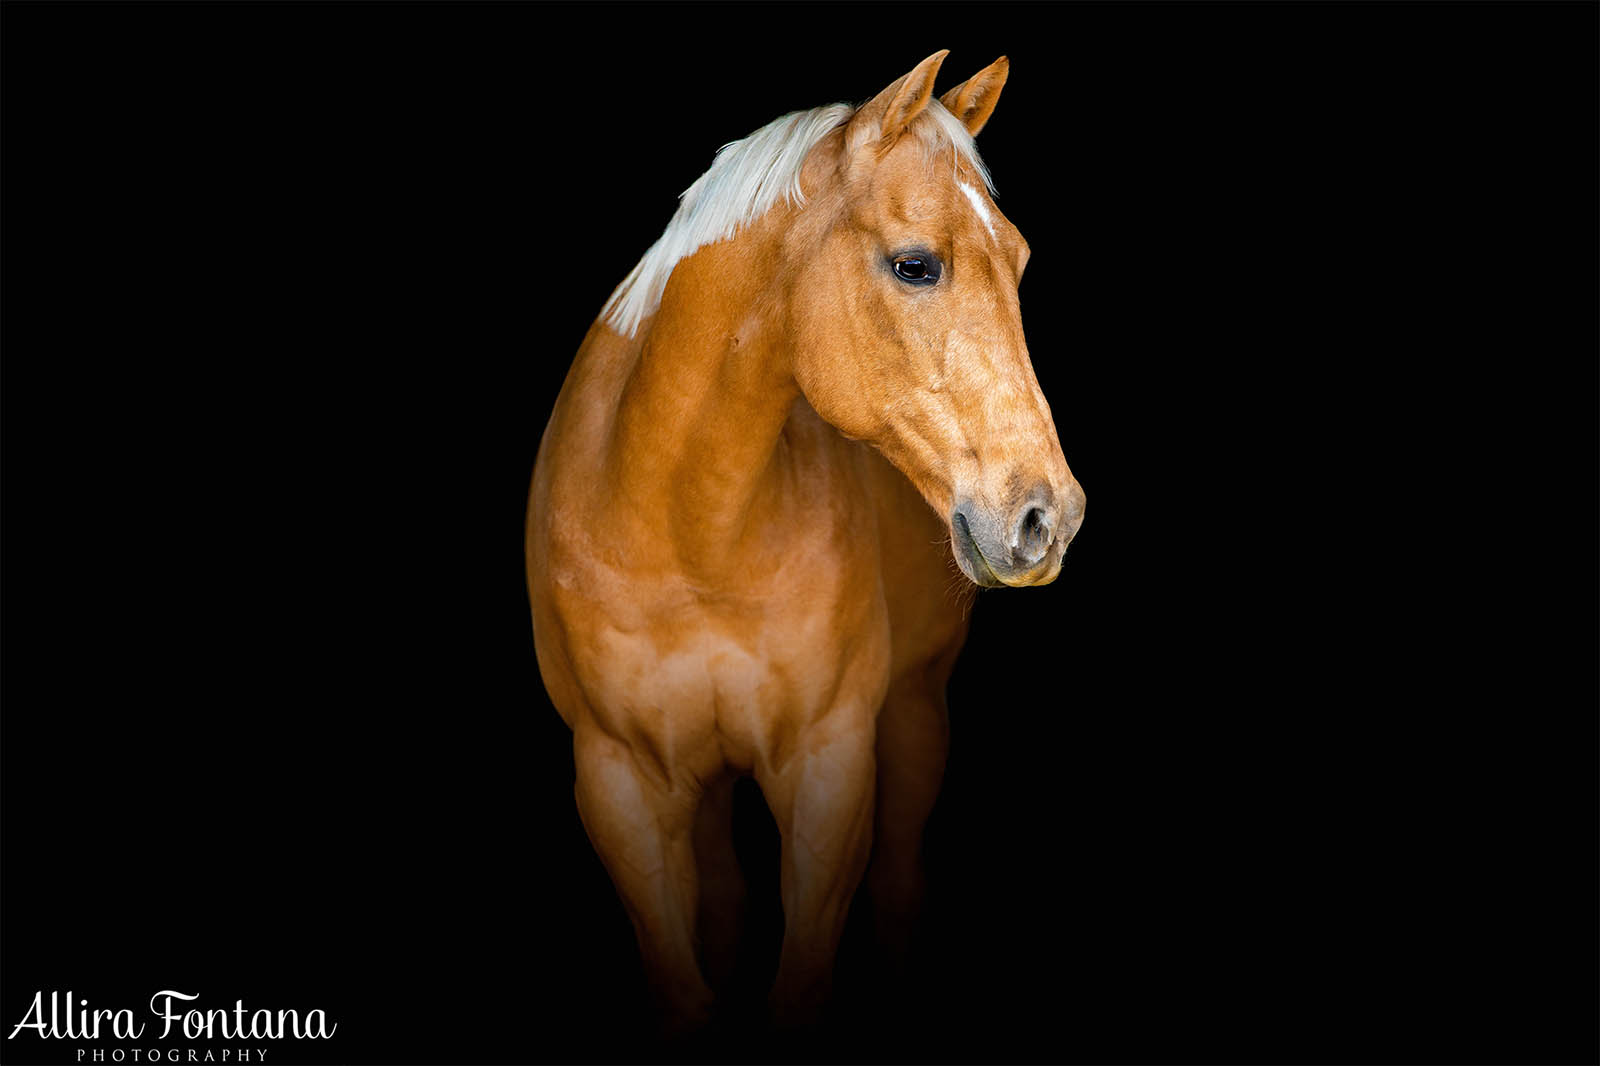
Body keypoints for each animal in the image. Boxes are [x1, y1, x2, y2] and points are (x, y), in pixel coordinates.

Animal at [524, 52, 1088, 1030]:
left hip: (916, 711)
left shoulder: (830, 766)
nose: (1045, 516)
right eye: (915, 265)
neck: (689, 534)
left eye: (1017, 262)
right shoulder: (620, 783)